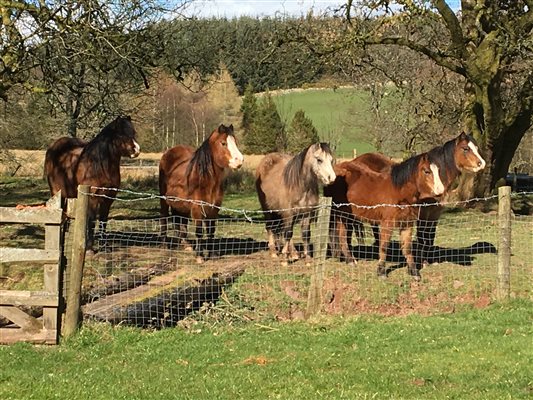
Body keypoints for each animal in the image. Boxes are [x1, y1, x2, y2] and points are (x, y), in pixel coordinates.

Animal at [44, 115, 139, 252]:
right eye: (121, 134)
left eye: (133, 132)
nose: (136, 150)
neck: (100, 166)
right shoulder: (93, 197)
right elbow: (92, 220)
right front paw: (89, 248)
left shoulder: (108, 198)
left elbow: (103, 220)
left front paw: (104, 246)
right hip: (58, 193)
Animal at [157, 123, 242, 264]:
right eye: (223, 143)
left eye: (235, 142)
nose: (239, 160)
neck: (205, 179)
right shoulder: (197, 208)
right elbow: (199, 231)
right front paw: (200, 256)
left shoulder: (214, 209)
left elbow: (211, 231)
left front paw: (212, 254)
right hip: (164, 200)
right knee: (164, 218)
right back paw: (164, 245)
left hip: (180, 205)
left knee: (180, 222)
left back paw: (185, 245)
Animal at [324, 152, 444, 280]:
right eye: (427, 171)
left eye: (438, 171)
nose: (440, 191)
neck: (399, 191)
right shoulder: (387, 223)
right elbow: (384, 246)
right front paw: (381, 272)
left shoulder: (407, 224)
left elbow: (407, 248)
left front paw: (414, 272)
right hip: (338, 213)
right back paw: (349, 260)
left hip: (346, 215)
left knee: (342, 235)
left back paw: (349, 259)